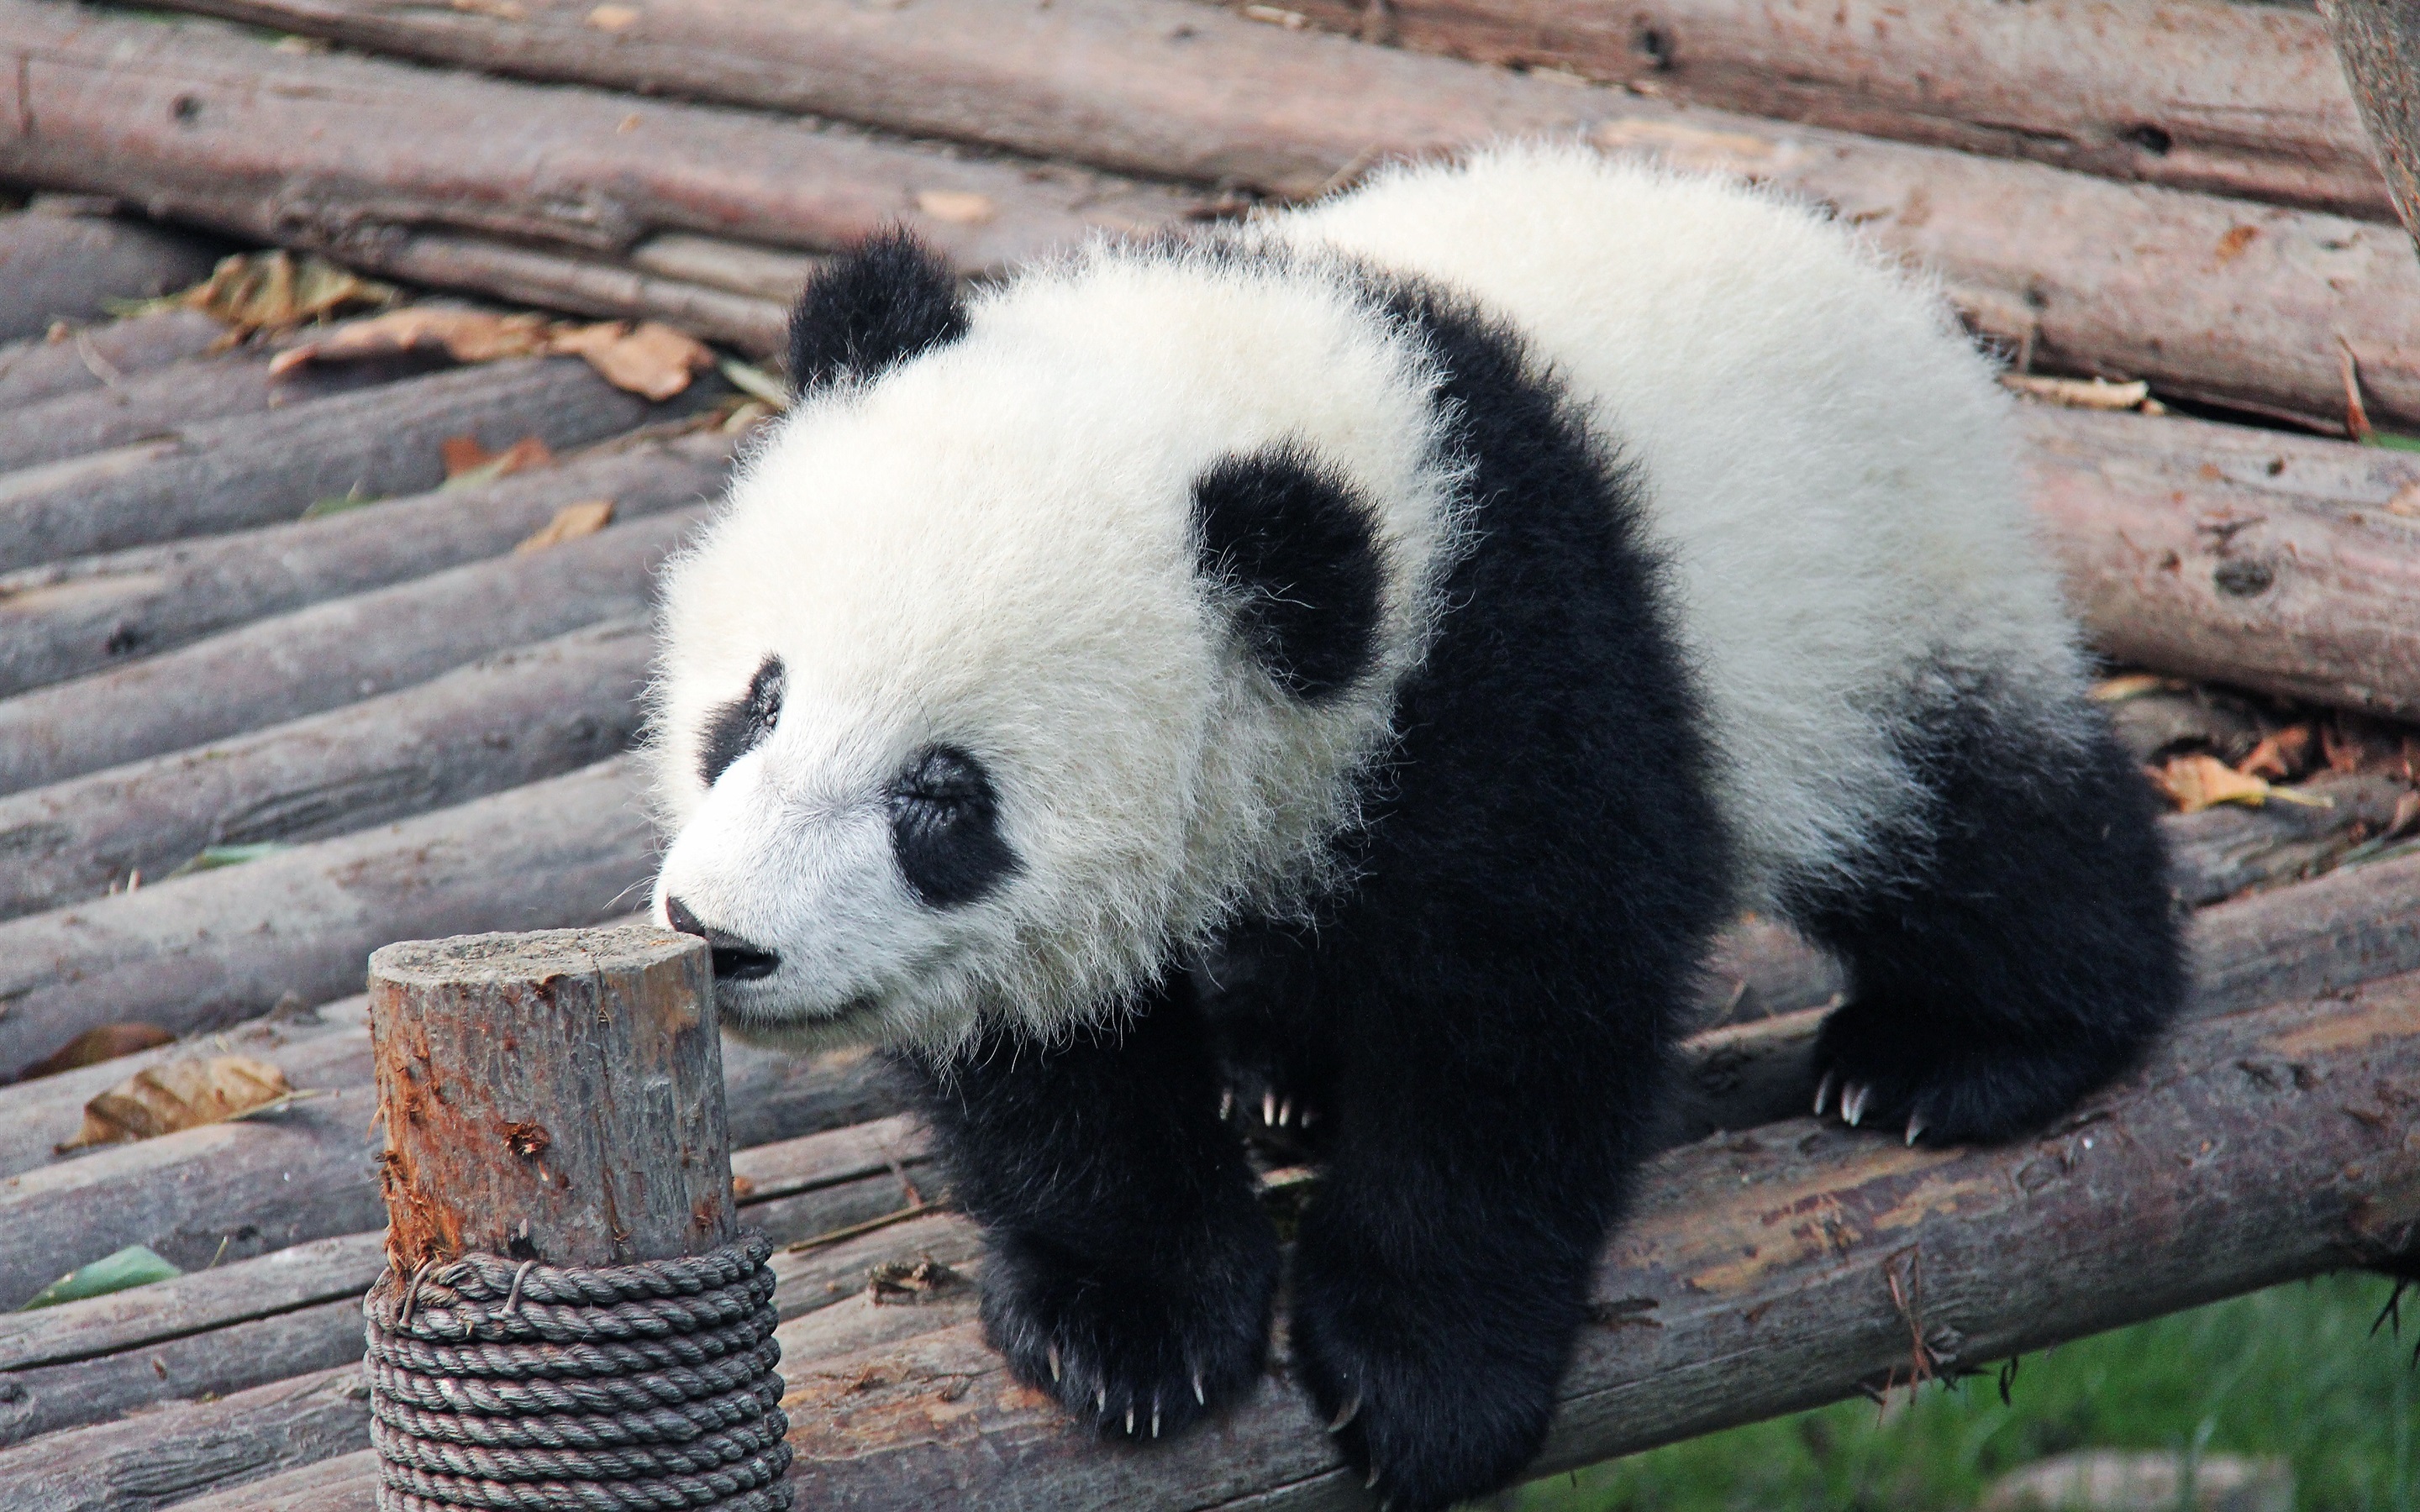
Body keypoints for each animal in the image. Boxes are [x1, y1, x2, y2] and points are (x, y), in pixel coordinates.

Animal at [648, 144, 2183, 1509]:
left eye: (943, 797)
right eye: (760, 700)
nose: (721, 935)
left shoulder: (1512, 656)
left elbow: (1519, 1018)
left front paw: (1423, 1379)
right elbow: (1055, 1052)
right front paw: (1130, 1322)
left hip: (1869, 592)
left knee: (1969, 823)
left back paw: (1961, 1051)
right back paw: (1284, 1069)